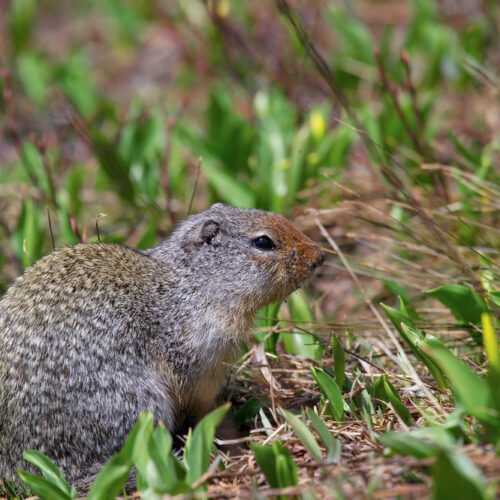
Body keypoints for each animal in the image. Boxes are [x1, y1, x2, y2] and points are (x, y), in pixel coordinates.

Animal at [0, 204, 324, 492]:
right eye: (263, 242)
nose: (320, 255)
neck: (193, 284)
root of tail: (18, 468)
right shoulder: (199, 355)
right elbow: (198, 402)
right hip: (135, 404)